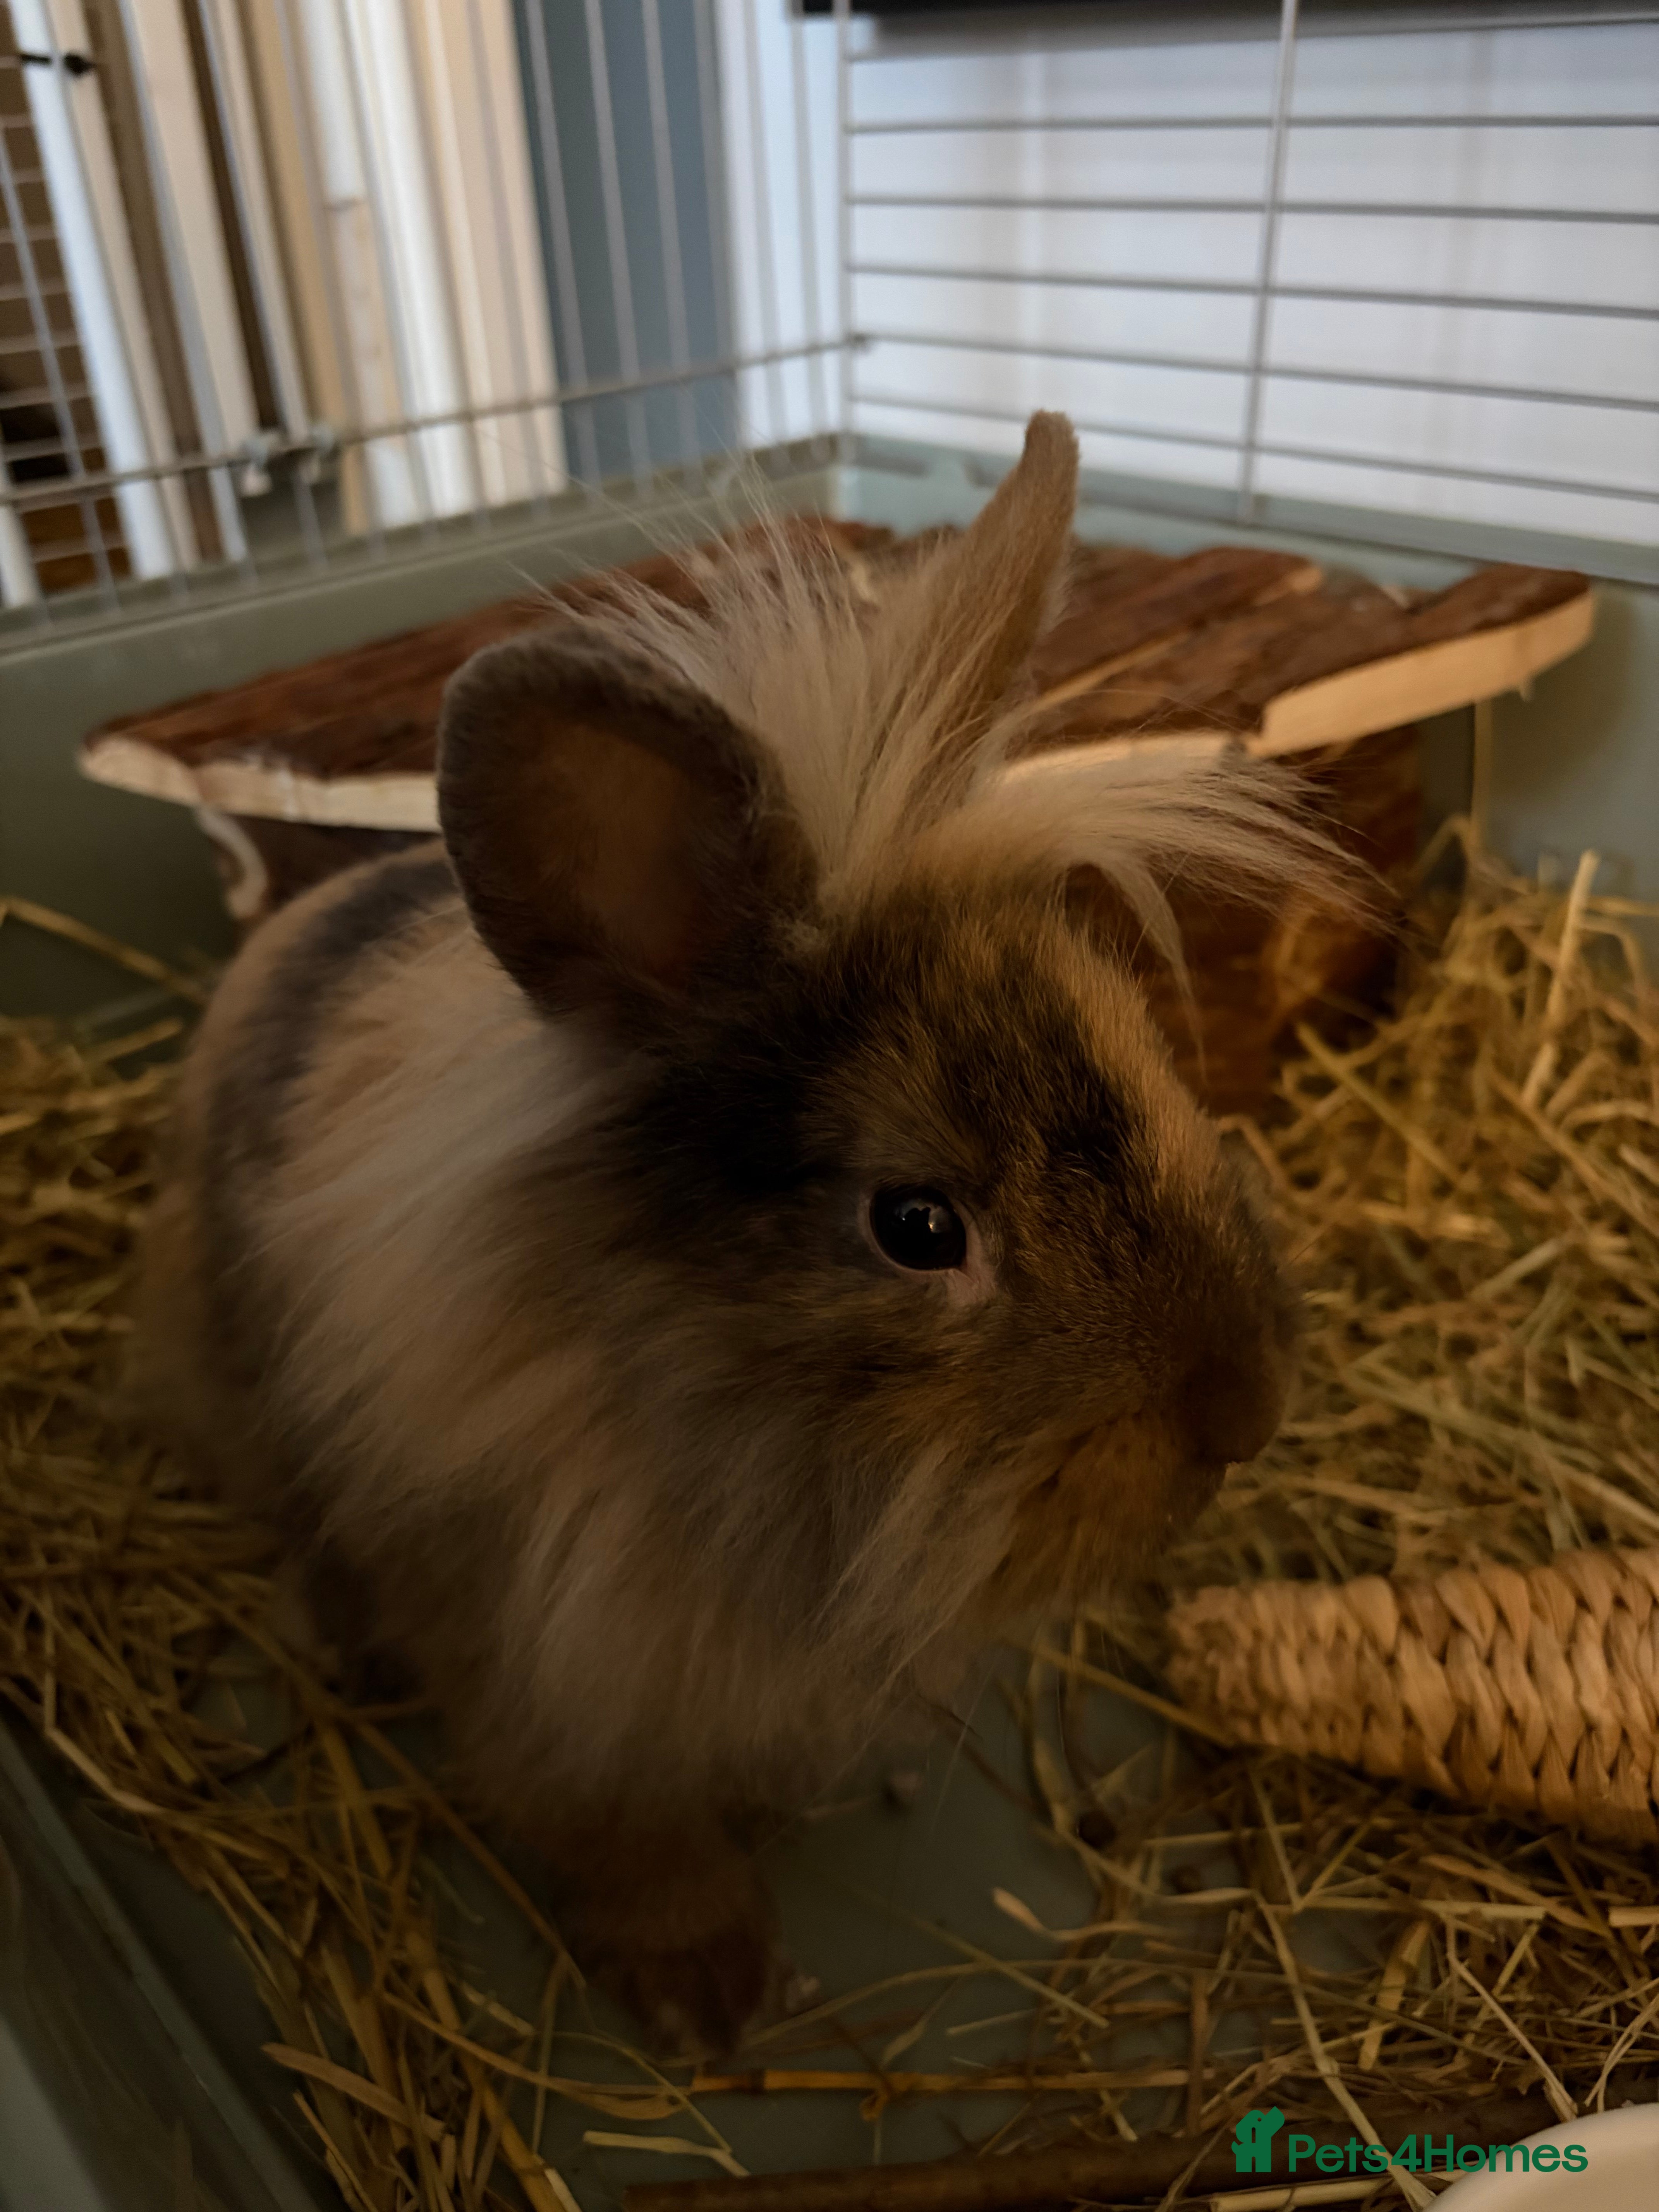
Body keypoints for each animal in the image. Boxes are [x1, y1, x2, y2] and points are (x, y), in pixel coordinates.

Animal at [136, 413, 1337, 2053]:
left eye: (1143, 1052)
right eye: (915, 1224)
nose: (1243, 1414)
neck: (729, 1444)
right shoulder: (551, 1681)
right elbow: (625, 1838)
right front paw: (708, 1995)